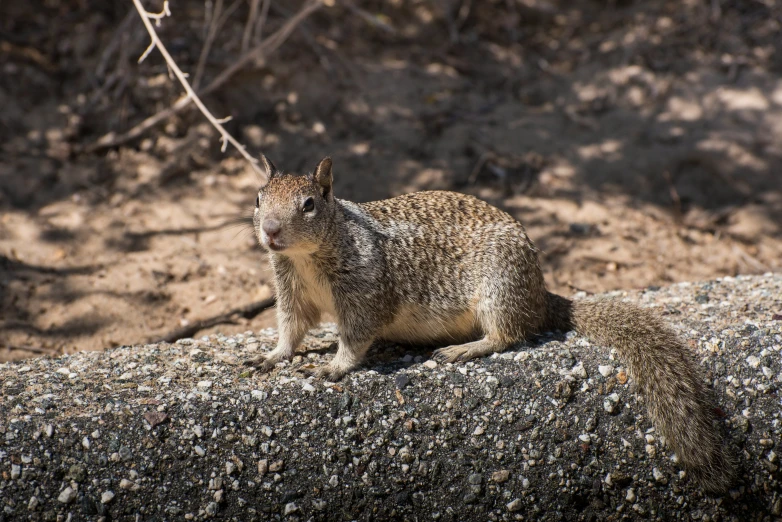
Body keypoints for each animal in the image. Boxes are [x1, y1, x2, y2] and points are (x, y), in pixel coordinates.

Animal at [248, 154, 740, 492]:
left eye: (309, 204)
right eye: (257, 198)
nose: (270, 231)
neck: (309, 253)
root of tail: (540, 295)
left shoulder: (365, 294)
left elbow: (355, 337)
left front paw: (334, 366)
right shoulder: (291, 290)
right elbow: (290, 328)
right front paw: (272, 356)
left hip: (499, 289)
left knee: (508, 335)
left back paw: (465, 348)